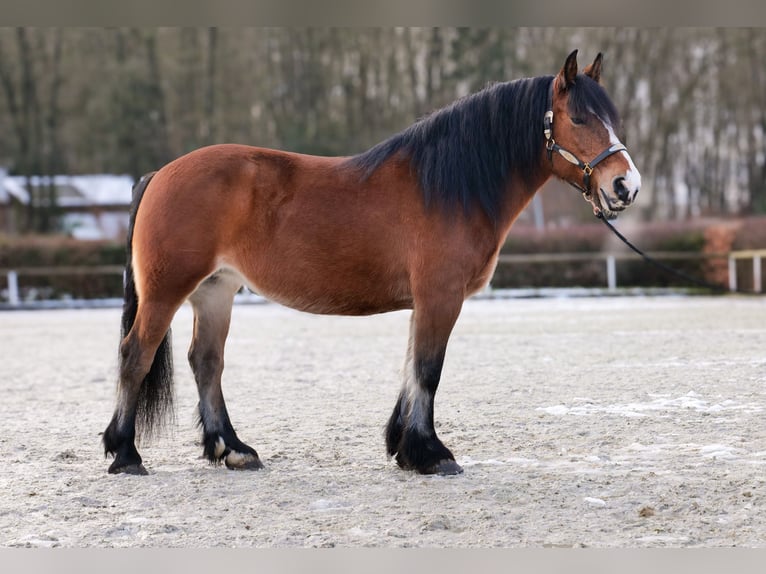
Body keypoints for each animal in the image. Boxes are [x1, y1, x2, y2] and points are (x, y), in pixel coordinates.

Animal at [102, 50, 640, 476]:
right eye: (580, 119)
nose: (625, 186)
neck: (448, 186)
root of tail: (160, 173)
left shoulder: (425, 301)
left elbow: (411, 369)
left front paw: (405, 448)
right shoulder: (440, 296)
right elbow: (428, 370)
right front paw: (432, 455)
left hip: (215, 290)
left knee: (206, 362)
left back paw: (232, 450)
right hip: (167, 290)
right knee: (135, 356)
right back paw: (126, 455)